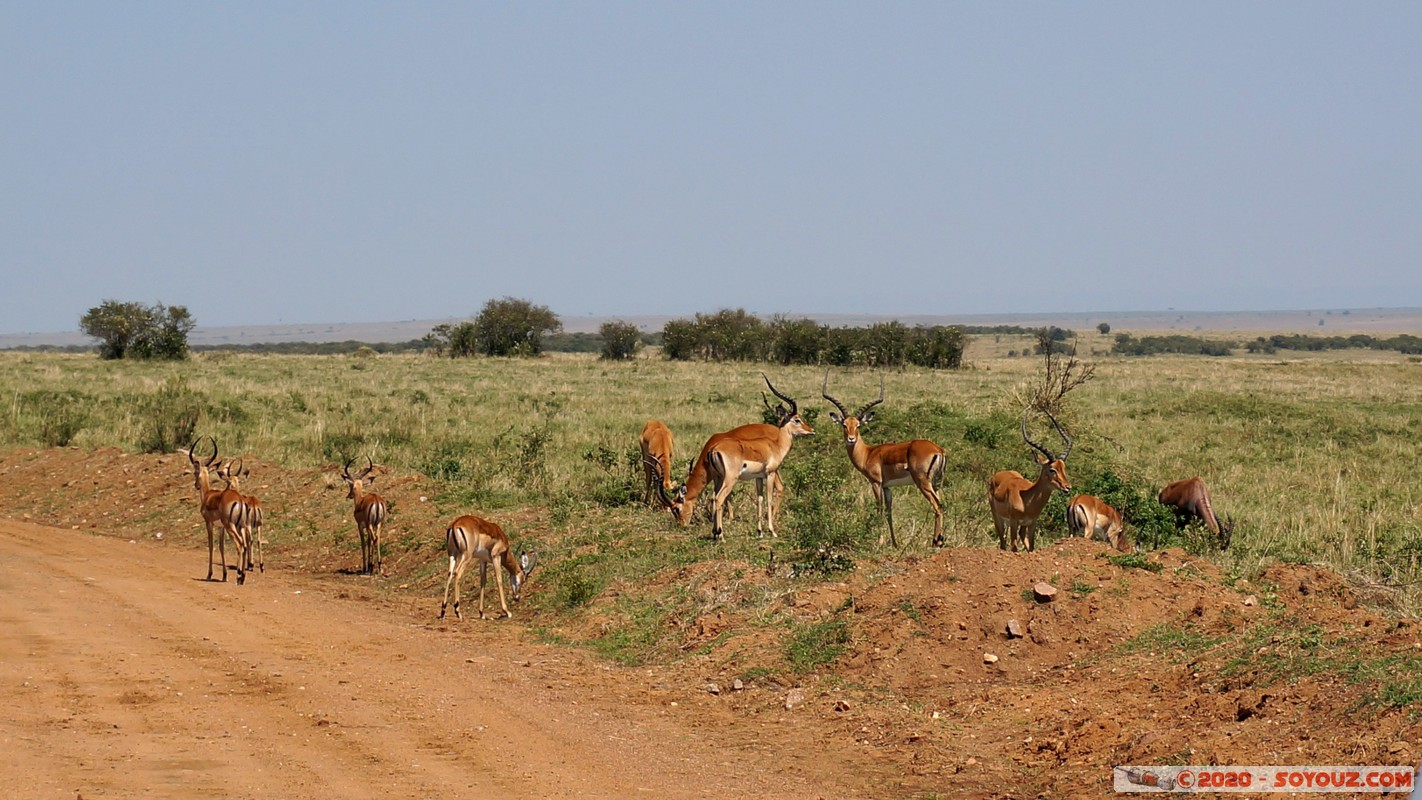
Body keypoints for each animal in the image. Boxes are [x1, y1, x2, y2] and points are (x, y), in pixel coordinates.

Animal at [824, 372, 944, 548]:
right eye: (844, 425)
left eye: (858, 425)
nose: (851, 439)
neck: (869, 453)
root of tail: (938, 450)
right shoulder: (887, 487)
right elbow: (889, 512)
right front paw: (894, 543)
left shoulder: (876, 483)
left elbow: (879, 510)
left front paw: (878, 542)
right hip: (936, 483)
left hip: (923, 482)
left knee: (938, 505)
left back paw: (936, 542)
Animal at [989, 409, 1075, 554]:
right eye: (1052, 469)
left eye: (1063, 467)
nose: (1067, 487)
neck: (1026, 500)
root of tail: (998, 474)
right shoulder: (1014, 522)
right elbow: (1014, 547)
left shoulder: (1032, 523)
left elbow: (1032, 546)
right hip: (998, 518)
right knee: (1003, 543)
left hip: (1022, 525)